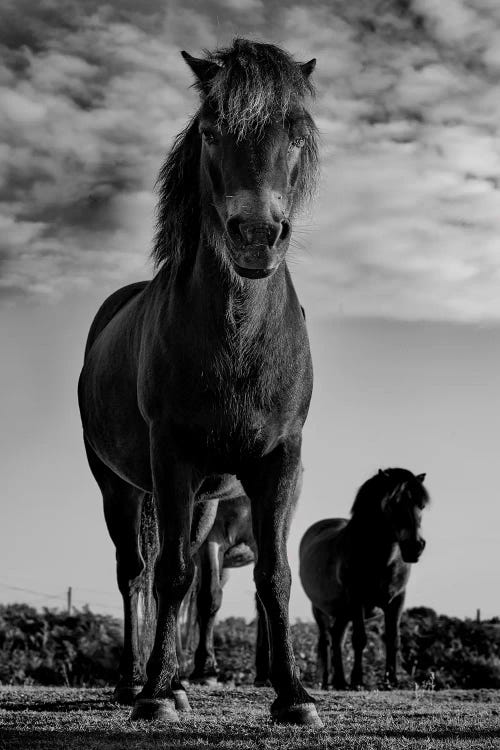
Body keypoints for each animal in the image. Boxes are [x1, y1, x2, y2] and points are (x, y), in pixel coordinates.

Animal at [78, 39, 320, 728]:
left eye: (297, 133)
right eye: (212, 131)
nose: (256, 235)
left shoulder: (279, 458)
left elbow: (272, 577)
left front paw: (294, 695)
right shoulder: (171, 457)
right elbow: (170, 576)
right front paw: (156, 695)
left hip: (204, 497)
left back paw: (178, 677)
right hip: (121, 485)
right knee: (136, 573)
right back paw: (135, 681)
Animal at [298, 470, 428, 692]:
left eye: (421, 505)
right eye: (392, 503)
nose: (415, 546)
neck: (379, 560)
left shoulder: (397, 601)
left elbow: (393, 639)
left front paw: (391, 681)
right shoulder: (357, 599)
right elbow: (360, 640)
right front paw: (358, 680)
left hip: (343, 613)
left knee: (337, 638)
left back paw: (340, 681)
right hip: (320, 609)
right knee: (326, 641)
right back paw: (327, 681)